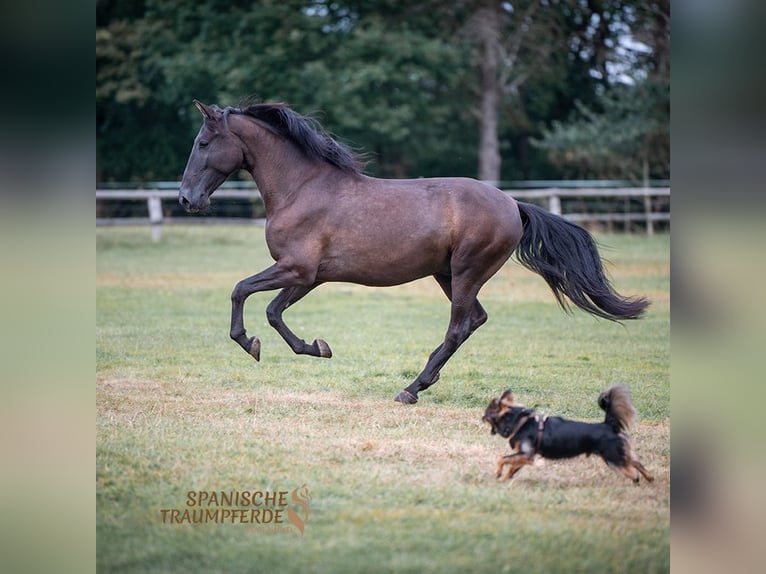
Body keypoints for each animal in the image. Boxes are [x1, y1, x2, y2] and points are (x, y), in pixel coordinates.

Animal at [178, 100, 648, 404]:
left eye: (202, 143)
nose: (186, 199)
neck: (302, 187)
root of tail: (514, 204)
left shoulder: (296, 268)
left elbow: (242, 291)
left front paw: (249, 343)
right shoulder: (310, 276)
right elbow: (274, 312)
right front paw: (317, 347)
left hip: (466, 272)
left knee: (458, 327)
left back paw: (410, 389)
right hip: (447, 274)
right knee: (474, 321)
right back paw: (423, 382)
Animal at [486, 388, 656, 486]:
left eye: (486, 414)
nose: (481, 417)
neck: (520, 422)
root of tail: (608, 425)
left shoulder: (526, 455)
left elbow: (502, 459)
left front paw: (498, 473)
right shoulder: (525, 456)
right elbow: (512, 468)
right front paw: (504, 480)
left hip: (613, 459)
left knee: (634, 474)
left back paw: (637, 482)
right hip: (618, 455)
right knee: (637, 463)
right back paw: (649, 479)